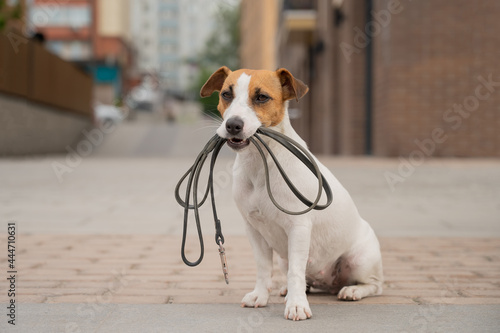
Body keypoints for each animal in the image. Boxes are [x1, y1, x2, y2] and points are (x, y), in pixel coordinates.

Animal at [199, 67, 382, 320]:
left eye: (261, 97)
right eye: (226, 94)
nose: (233, 125)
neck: (261, 163)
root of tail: (328, 283)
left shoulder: (299, 227)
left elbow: (296, 270)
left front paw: (297, 305)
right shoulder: (253, 228)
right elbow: (263, 268)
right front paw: (260, 296)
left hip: (360, 260)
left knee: (374, 285)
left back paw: (352, 290)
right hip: (284, 258)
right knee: (302, 279)